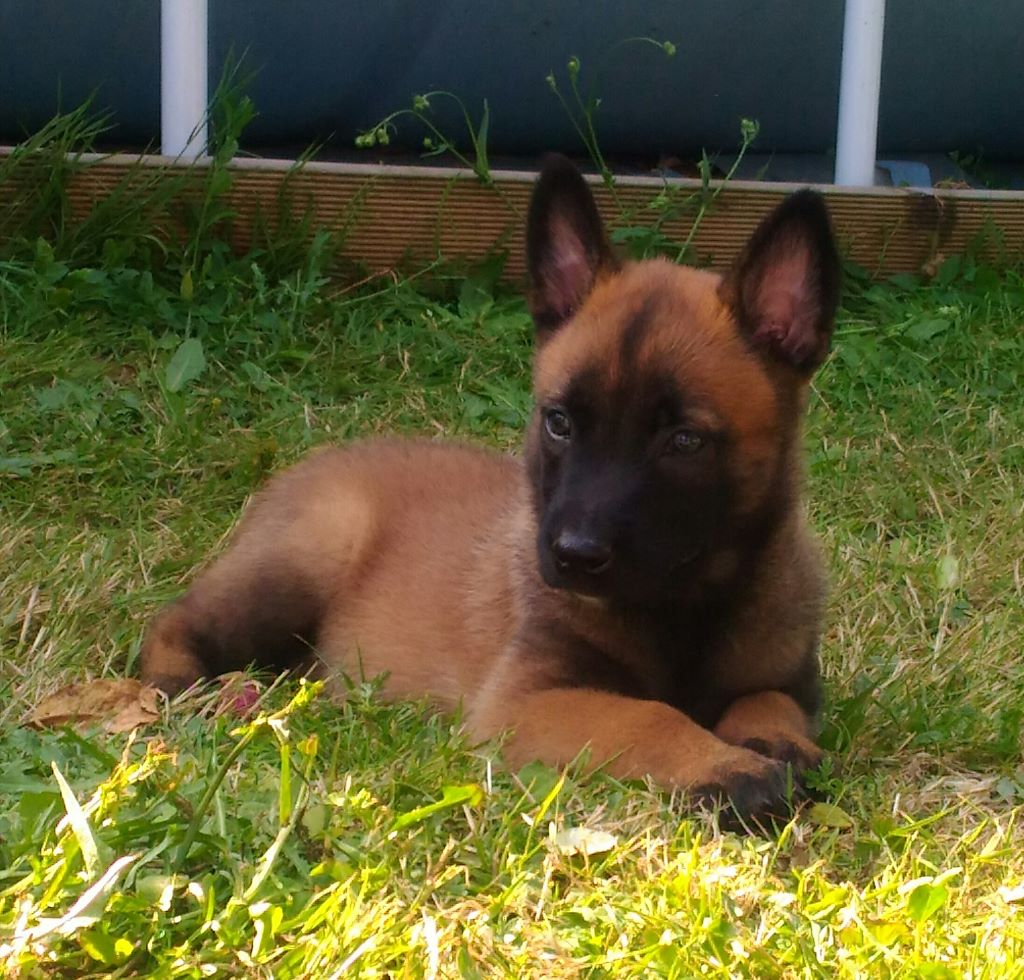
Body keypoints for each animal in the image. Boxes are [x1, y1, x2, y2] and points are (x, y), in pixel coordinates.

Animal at [146, 156, 847, 819]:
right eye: (559, 422)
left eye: (684, 441)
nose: (572, 556)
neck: (686, 607)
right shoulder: (522, 704)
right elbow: (647, 716)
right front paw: (728, 769)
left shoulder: (787, 678)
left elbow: (769, 702)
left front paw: (774, 744)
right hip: (303, 562)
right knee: (173, 622)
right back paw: (184, 693)